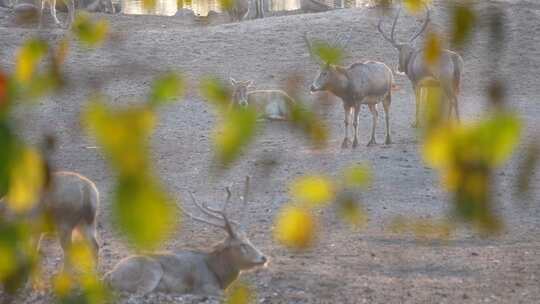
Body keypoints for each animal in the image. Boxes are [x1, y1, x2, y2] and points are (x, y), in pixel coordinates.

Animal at [102, 176, 266, 296]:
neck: (220, 275)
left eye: (249, 240)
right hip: (151, 271)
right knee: (139, 293)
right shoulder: (205, 286)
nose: (263, 257)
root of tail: (110, 275)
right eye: (241, 245)